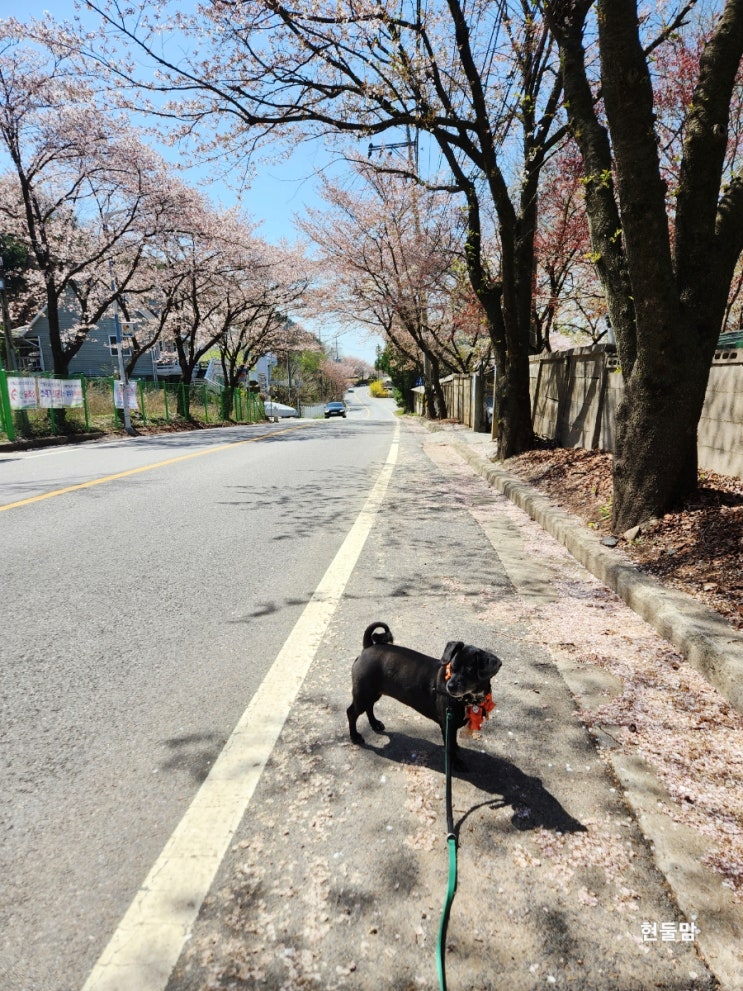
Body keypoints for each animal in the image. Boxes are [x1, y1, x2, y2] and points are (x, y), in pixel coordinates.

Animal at [350, 624, 506, 772]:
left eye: (469, 672)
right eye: (452, 668)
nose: (450, 686)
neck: (467, 699)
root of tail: (368, 646)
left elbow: (453, 743)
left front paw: (456, 748)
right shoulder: (447, 726)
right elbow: (449, 748)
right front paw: (456, 762)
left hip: (371, 693)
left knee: (369, 707)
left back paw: (374, 723)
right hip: (363, 694)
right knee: (351, 713)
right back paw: (354, 736)